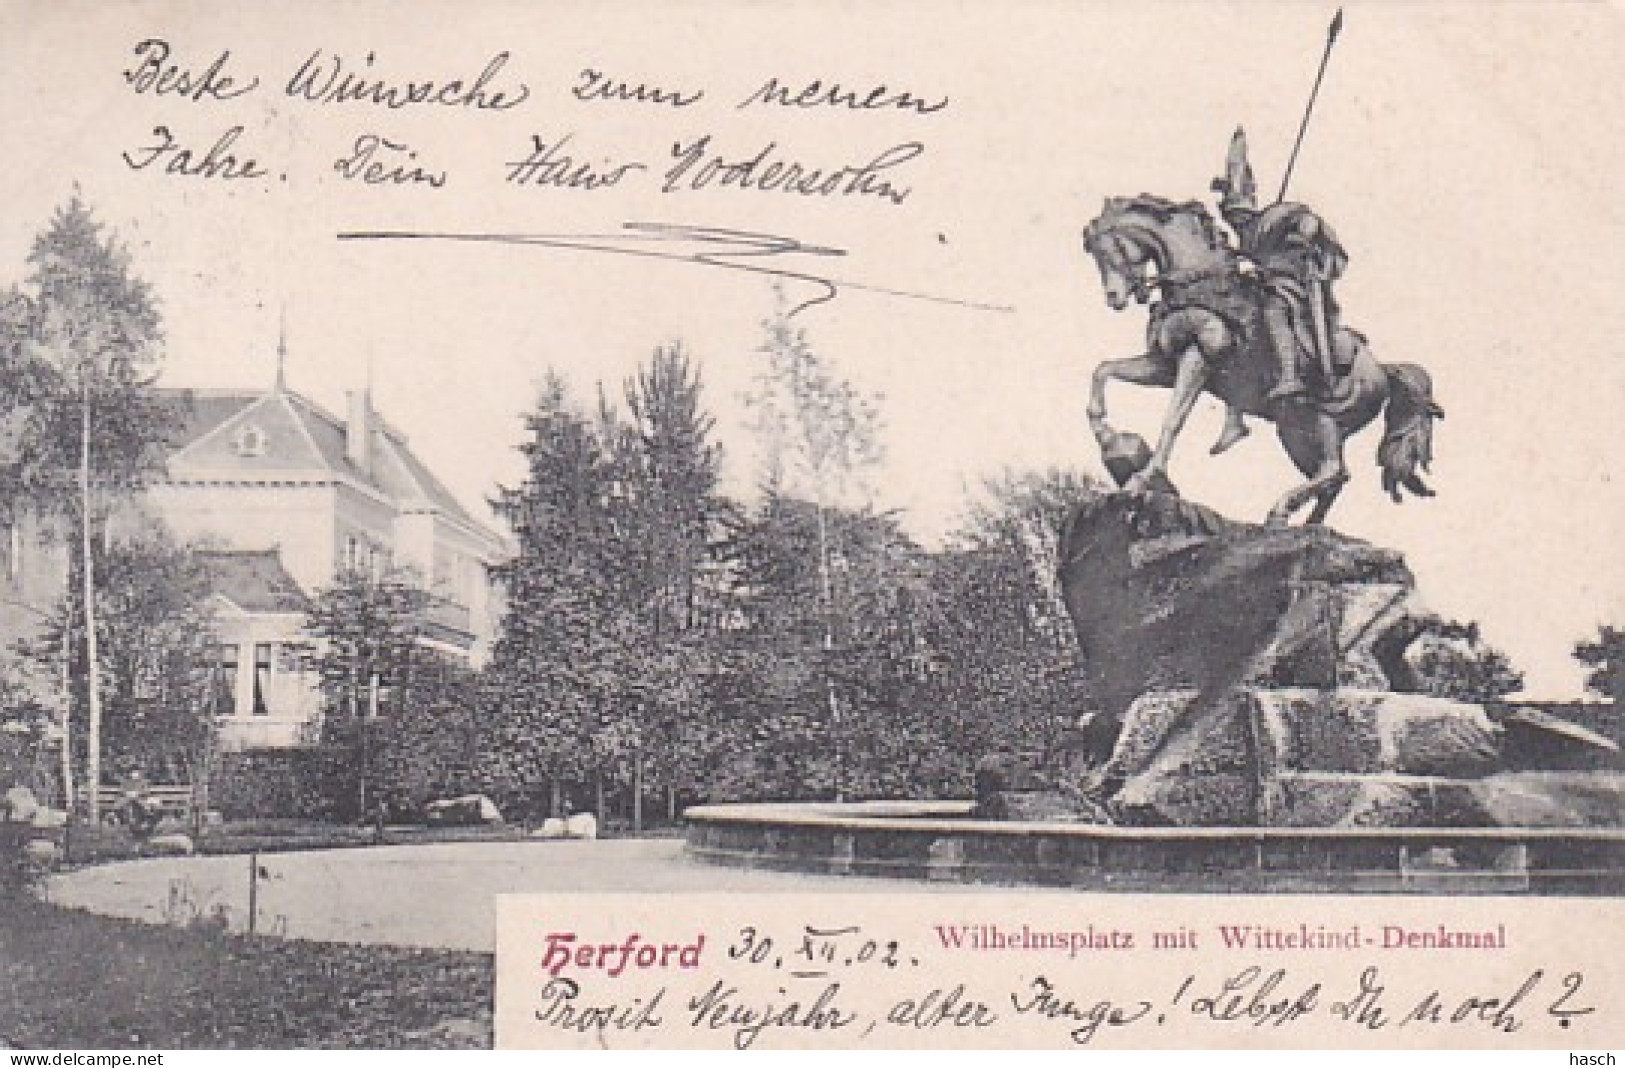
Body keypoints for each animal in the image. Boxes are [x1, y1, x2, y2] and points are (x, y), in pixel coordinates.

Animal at [1085, 195, 1443, 523]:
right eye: (1096, 255)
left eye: (1111, 249)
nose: (1114, 299)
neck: (1200, 283)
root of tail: (1382, 370)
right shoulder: (1164, 365)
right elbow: (1103, 370)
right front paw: (1107, 437)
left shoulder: (1198, 356)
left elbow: (1173, 419)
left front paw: (1140, 479)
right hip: (1295, 430)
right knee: (1333, 478)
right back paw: (1305, 526)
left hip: (1324, 420)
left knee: (1333, 470)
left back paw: (1281, 509)